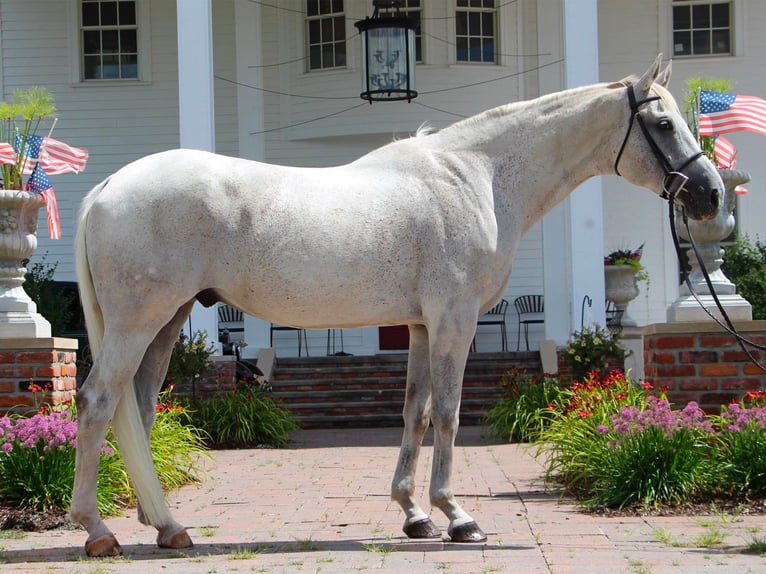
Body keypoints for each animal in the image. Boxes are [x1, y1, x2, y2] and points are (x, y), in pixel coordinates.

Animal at [72, 57, 728, 560]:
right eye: (663, 123)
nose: (711, 194)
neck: (477, 177)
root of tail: (107, 188)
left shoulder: (419, 325)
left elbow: (415, 413)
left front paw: (414, 514)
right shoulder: (455, 319)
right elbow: (450, 414)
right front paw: (458, 517)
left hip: (168, 321)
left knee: (140, 408)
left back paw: (166, 526)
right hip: (138, 322)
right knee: (99, 401)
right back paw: (99, 531)